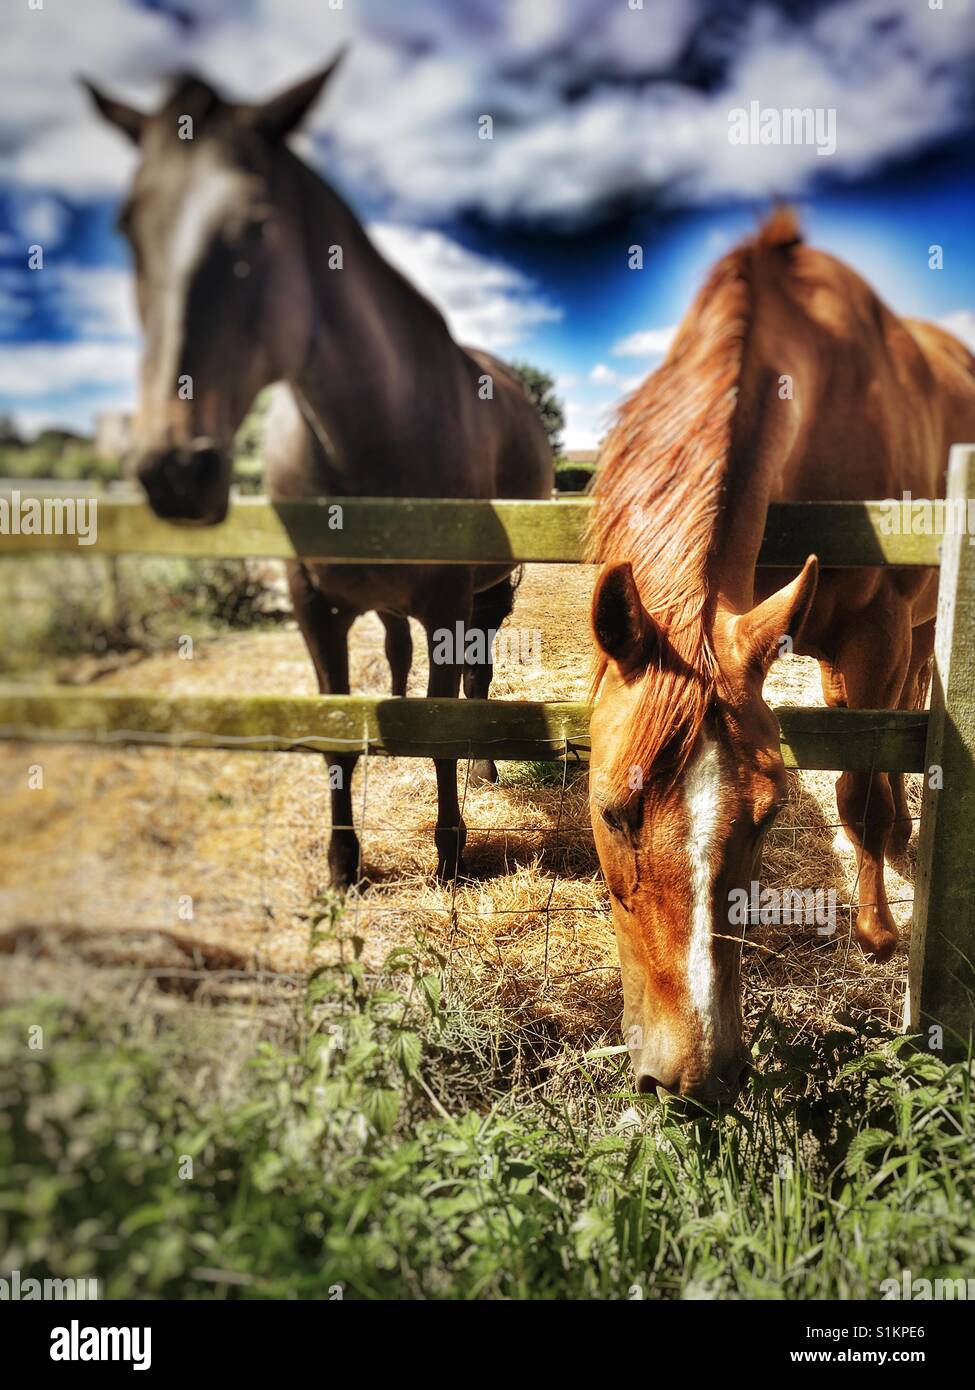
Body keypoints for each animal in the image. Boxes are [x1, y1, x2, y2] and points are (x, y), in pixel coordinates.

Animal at [84, 55, 554, 888]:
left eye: (259, 224)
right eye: (128, 227)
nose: (176, 469)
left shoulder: (447, 604)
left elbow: (442, 722)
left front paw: (450, 851)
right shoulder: (313, 607)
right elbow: (337, 729)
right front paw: (342, 863)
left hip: (491, 593)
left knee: (477, 679)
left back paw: (485, 767)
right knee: (400, 660)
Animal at [588, 208, 975, 1107]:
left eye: (765, 816)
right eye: (611, 812)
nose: (695, 1078)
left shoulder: (876, 628)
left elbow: (858, 786)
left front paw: (877, 932)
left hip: (901, 633)